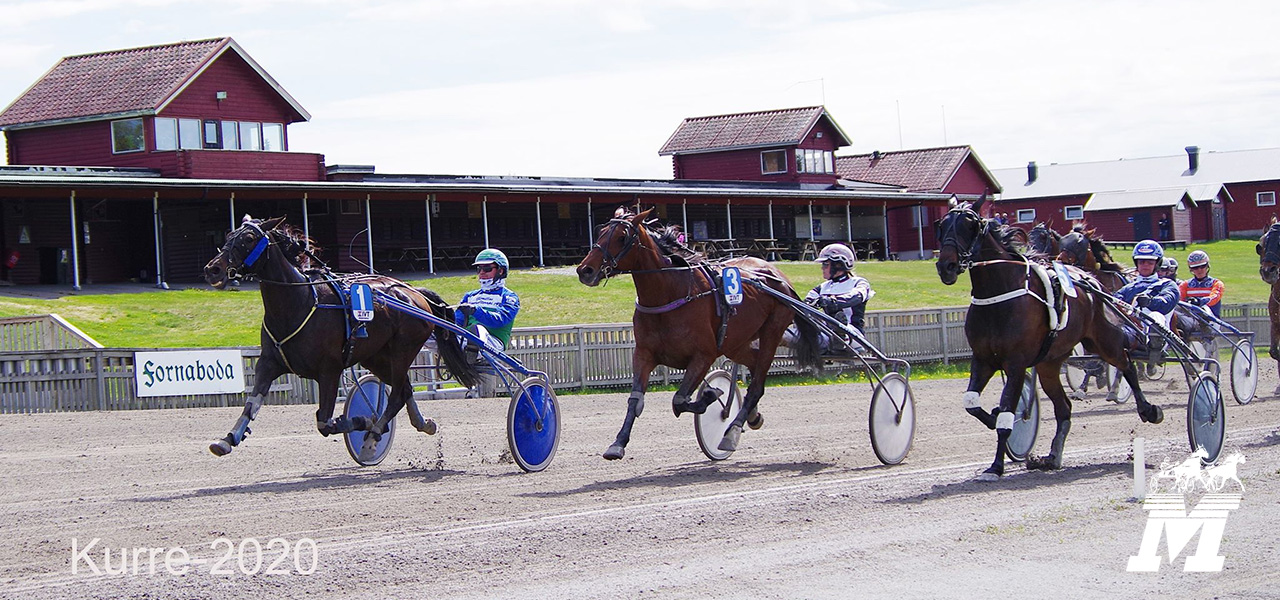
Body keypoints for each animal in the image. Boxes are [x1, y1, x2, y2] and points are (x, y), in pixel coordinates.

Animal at [199, 217, 481, 460]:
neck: (298, 303)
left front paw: (363, 420)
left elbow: (325, 421)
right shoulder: (269, 363)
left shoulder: (329, 370)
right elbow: (252, 404)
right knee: (404, 390)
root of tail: (414, 293)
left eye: (248, 238)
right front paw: (228, 439)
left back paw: (372, 437)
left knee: (396, 396)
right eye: (228, 235)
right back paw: (422, 424)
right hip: (376, 356)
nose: (213, 269)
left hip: (404, 350)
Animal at [576, 208, 814, 455]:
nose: (585, 270)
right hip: (735, 343)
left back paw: (732, 431)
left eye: (622, 237)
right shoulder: (643, 354)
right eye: (600, 231)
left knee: (757, 384)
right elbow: (636, 400)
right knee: (754, 365)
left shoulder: (703, 355)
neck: (670, 293)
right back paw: (752, 416)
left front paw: (711, 394)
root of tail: (780, 277)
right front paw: (618, 443)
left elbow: (680, 400)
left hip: (772, 331)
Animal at [936, 198, 1167, 478]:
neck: (998, 295)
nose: (945, 266)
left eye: (969, 225)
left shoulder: (1015, 364)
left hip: (1102, 339)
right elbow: (971, 402)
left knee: (1126, 364)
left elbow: (1006, 415)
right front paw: (992, 417)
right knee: (1064, 407)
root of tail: (1090, 281)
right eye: (942, 225)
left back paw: (1148, 409)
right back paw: (1053, 455)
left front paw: (996, 466)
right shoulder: (983, 360)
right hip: (1049, 364)